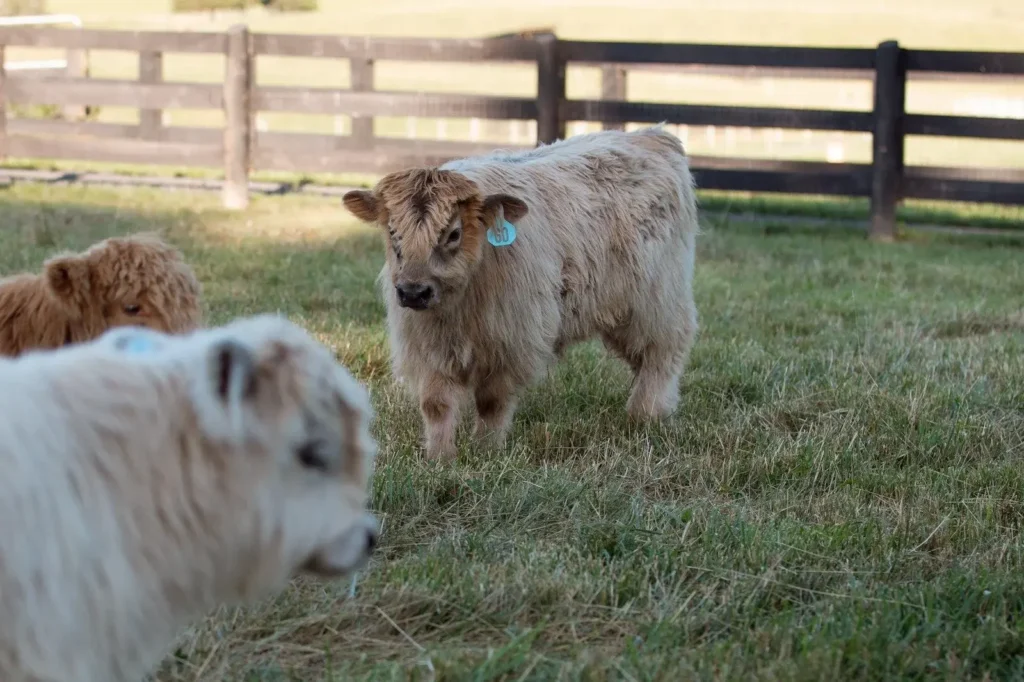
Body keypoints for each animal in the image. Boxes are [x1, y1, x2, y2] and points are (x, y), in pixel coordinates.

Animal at [342, 125, 699, 460]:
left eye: (454, 233)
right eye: (392, 231)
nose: (413, 292)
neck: (457, 310)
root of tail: (652, 135)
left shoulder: (511, 341)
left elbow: (492, 401)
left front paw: (486, 450)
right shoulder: (425, 346)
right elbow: (436, 404)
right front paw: (440, 457)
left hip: (657, 302)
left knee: (663, 353)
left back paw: (648, 413)